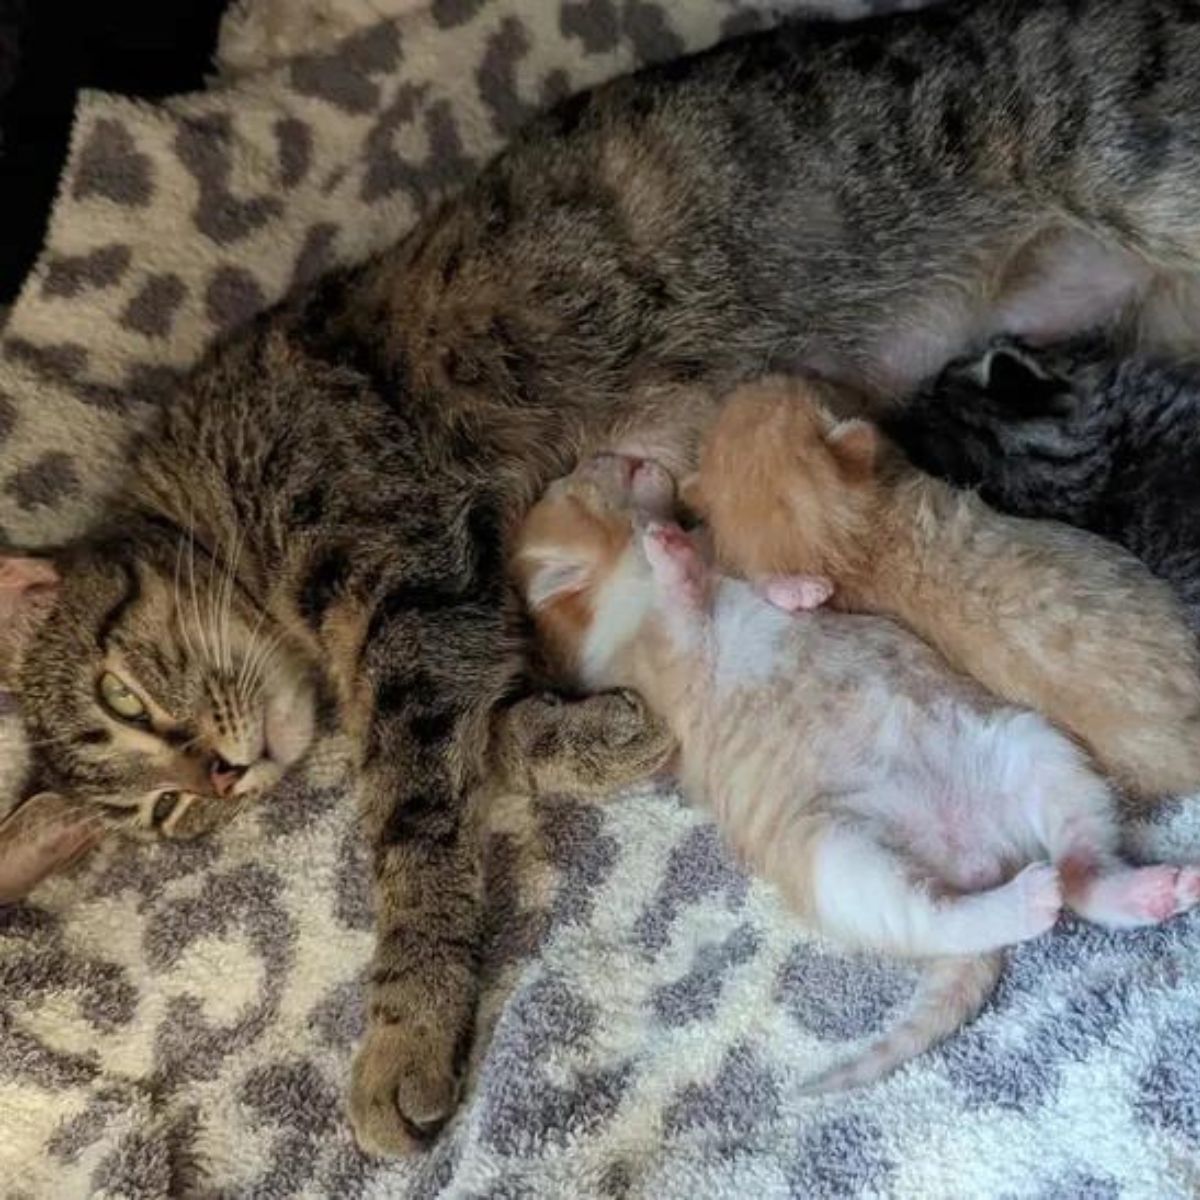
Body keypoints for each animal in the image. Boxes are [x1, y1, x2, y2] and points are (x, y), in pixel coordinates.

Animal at [513, 453, 1200, 1094]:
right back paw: (1028, 901)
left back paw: (1142, 891)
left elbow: (743, 579)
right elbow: (685, 603)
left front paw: (790, 588)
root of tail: (978, 859)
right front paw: (672, 554)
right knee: (938, 918)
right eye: (588, 474)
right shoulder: (653, 673)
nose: (637, 457)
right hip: (837, 857)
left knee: (1080, 871)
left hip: (1029, 746)